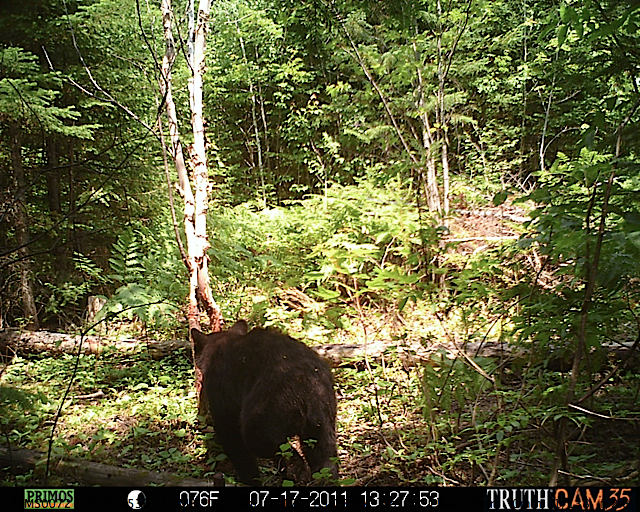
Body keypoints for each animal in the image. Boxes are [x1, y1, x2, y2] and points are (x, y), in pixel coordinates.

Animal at [192, 320, 338, 484]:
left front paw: (250, 478)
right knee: (324, 454)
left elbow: (232, 436)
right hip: (322, 415)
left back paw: (298, 470)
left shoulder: (222, 392)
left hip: (270, 404)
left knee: (263, 439)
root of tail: (308, 382)